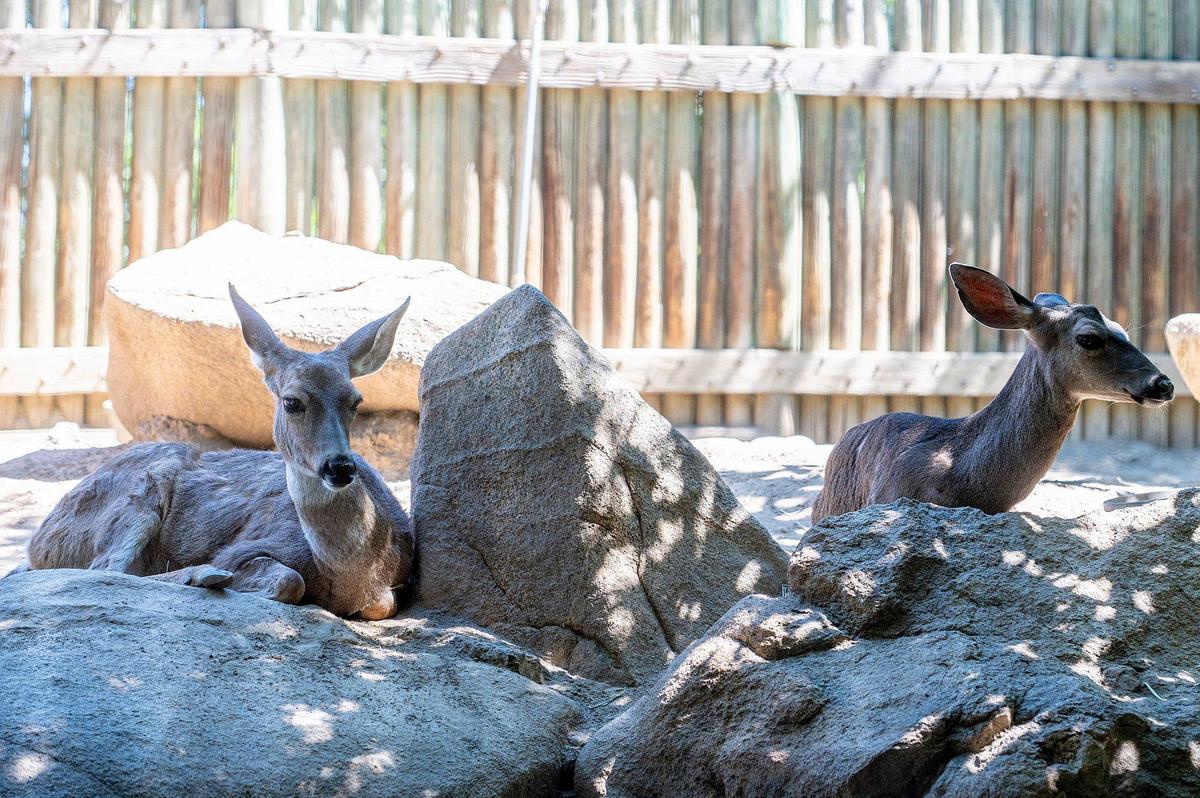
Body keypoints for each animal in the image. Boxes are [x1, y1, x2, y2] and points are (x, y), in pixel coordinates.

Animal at [15, 286, 415, 620]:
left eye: (356, 401)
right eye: (292, 401)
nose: (340, 466)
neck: (353, 571)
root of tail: (39, 539)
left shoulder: (388, 589)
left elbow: (384, 603)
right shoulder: (244, 548)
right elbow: (290, 581)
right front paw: (214, 575)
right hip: (136, 497)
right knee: (109, 570)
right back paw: (204, 575)